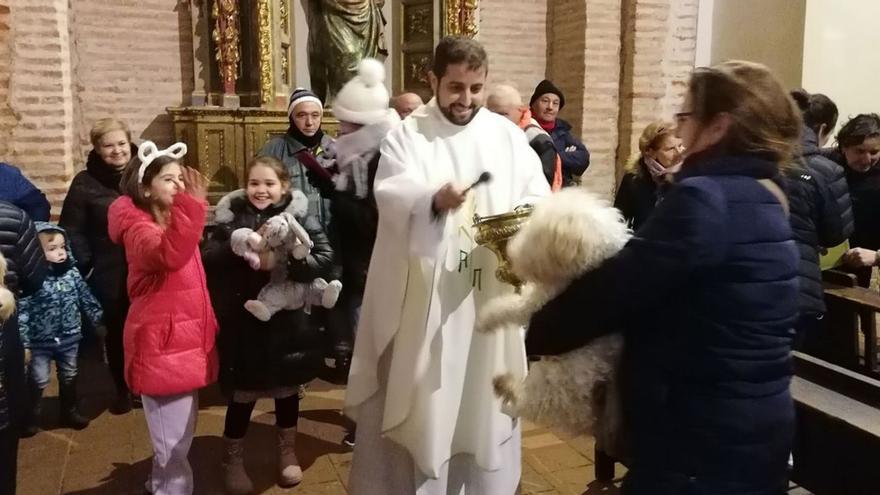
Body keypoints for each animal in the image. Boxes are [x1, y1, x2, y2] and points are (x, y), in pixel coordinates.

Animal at [478, 188, 628, 436]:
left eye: (535, 237)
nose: (513, 250)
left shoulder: (535, 304)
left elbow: (508, 307)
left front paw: (483, 321)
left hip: (550, 383)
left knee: (528, 404)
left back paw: (505, 385)